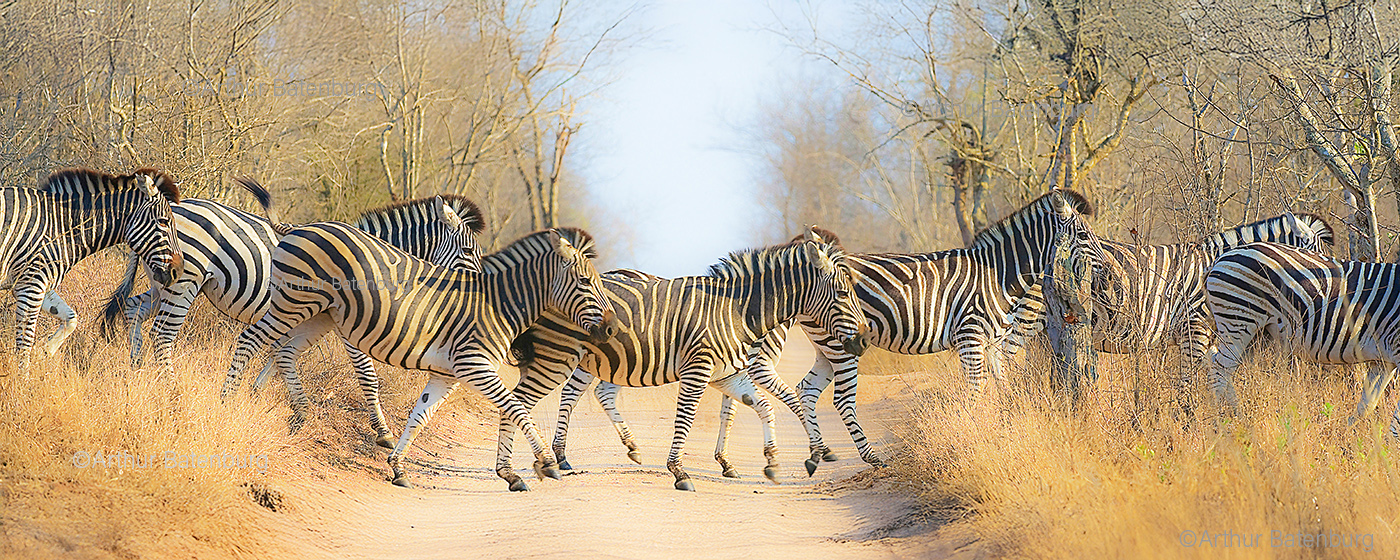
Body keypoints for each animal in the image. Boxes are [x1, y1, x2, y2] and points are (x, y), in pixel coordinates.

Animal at [2, 168, 182, 370]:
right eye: (163, 222)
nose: (179, 271)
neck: (62, 226)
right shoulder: (31, 284)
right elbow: (24, 345)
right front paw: (25, 375)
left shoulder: (38, 283)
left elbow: (71, 318)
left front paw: (45, 351)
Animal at [100, 179, 485, 445]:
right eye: (468, 251)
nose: (481, 292)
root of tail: (168, 210)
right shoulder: (348, 328)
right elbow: (367, 376)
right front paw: (383, 432)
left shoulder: (313, 319)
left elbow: (278, 357)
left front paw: (258, 395)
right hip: (185, 281)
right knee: (162, 334)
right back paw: (171, 393)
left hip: (162, 279)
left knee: (134, 309)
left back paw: (136, 372)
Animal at [219, 222, 622, 488]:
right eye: (586, 282)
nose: (612, 330)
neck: (498, 305)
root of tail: (300, 226)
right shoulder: (474, 365)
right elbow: (516, 409)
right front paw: (544, 463)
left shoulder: (448, 374)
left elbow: (420, 417)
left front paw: (397, 467)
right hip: (295, 301)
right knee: (249, 340)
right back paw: (226, 402)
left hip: (319, 314)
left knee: (284, 351)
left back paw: (299, 414)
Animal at [501, 229, 869, 491]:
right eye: (843, 293)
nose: (864, 340)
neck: (738, 310)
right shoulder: (709, 368)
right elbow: (689, 417)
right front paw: (680, 471)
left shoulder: (729, 373)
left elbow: (761, 407)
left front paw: (772, 462)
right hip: (562, 355)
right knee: (532, 399)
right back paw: (543, 462)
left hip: (596, 359)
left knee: (579, 395)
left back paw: (573, 455)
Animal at [1204, 242, 1400, 436]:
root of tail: (1221, 258)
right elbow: (1396, 419)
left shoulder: (1383, 361)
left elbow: (1367, 405)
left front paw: (1345, 435)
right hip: (1238, 320)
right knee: (1220, 370)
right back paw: (1220, 425)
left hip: (1257, 333)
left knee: (1220, 365)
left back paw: (1241, 421)